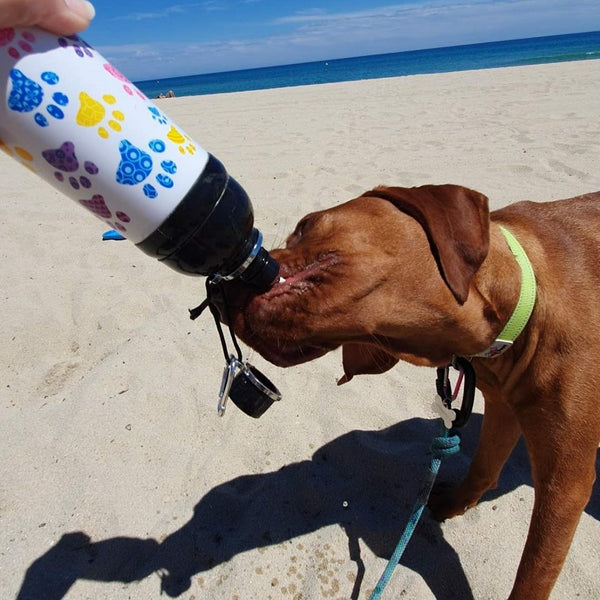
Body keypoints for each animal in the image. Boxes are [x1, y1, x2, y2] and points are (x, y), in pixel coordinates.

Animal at [221, 186, 600, 600]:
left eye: (305, 225)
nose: (218, 279)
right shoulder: (502, 406)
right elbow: (483, 467)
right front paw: (455, 505)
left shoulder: (564, 484)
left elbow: (534, 574)